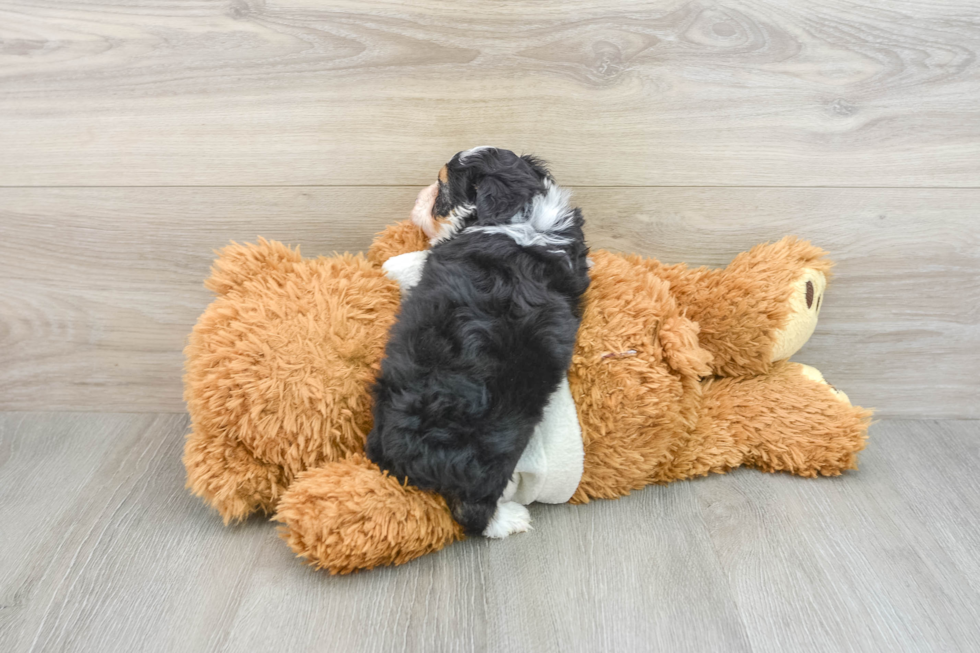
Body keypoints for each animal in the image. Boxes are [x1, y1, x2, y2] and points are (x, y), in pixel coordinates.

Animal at [364, 149, 584, 540]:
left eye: (440, 186)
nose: (417, 195)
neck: (520, 215)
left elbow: (409, 261)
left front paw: (387, 265)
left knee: (473, 515)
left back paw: (511, 519)